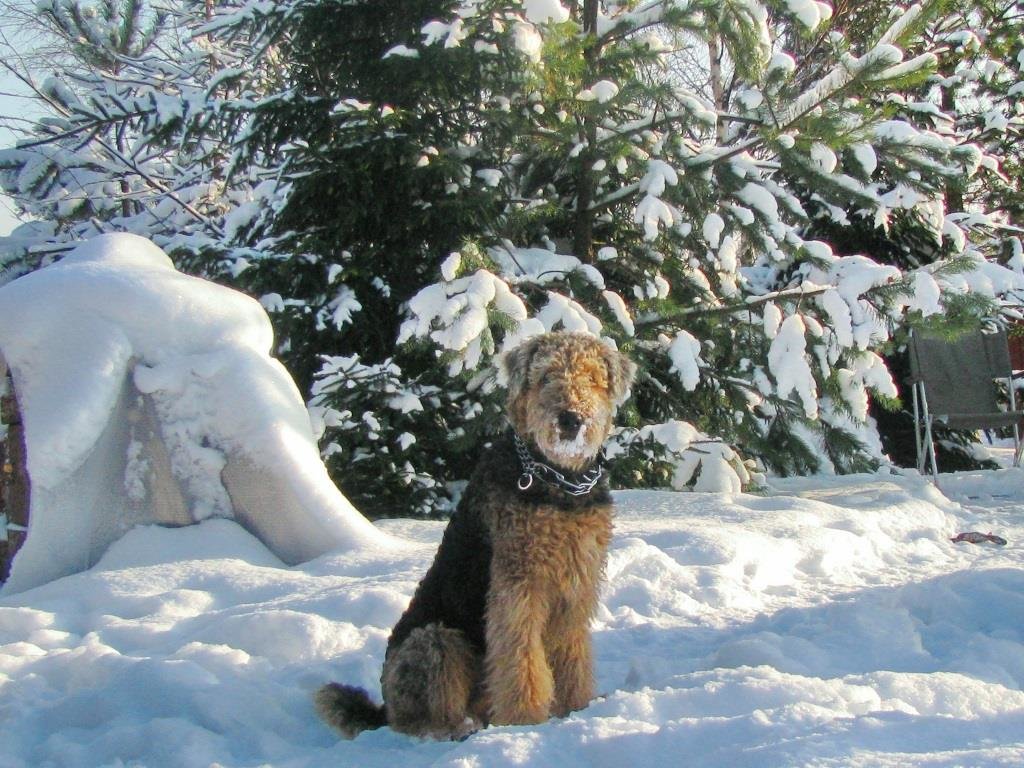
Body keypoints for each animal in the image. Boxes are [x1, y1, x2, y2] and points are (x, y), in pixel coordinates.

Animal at [313, 331, 630, 741]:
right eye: (546, 376)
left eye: (592, 378)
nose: (571, 420)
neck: (559, 482)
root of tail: (382, 709)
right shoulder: (519, 585)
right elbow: (521, 659)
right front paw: (526, 719)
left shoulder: (577, 583)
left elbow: (571, 657)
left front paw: (577, 708)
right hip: (436, 640)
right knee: (422, 719)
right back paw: (456, 730)